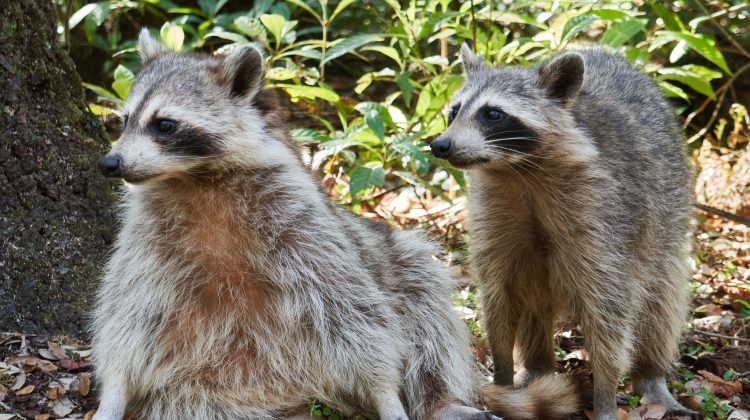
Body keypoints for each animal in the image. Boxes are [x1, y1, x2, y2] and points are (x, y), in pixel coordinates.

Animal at [90, 30, 580, 420]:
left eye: (165, 124)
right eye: (124, 120)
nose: (110, 163)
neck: (195, 179)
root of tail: (294, 392)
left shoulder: (302, 220)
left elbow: (353, 310)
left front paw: (386, 392)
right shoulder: (147, 241)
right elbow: (128, 315)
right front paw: (114, 390)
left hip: (395, 259)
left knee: (425, 306)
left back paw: (440, 399)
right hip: (203, 388)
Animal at [430, 45, 695, 420]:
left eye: (492, 114)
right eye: (455, 110)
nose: (441, 145)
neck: (519, 172)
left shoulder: (606, 221)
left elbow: (609, 314)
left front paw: (605, 396)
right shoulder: (492, 218)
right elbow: (499, 302)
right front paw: (502, 377)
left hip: (667, 217)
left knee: (661, 303)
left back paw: (652, 375)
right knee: (532, 298)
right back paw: (536, 368)